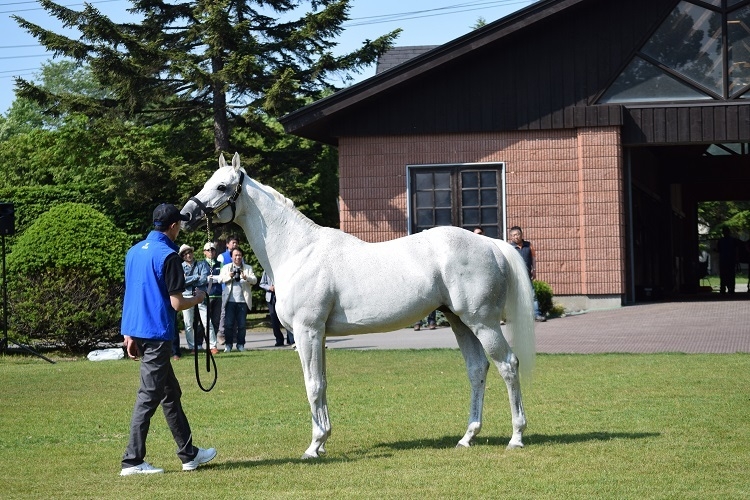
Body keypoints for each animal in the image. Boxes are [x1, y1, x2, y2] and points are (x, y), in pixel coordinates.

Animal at [181, 152, 536, 458]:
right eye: (209, 181)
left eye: (222, 186)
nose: (185, 215)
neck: (299, 251)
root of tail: (491, 243)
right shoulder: (318, 335)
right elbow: (322, 384)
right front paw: (322, 441)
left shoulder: (307, 331)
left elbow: (312, 385)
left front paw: (314, 446)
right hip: (460, 322)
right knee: (477, 369)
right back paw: (467, 436)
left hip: (483, 322)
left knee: (508, 365)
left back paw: (516, 437)